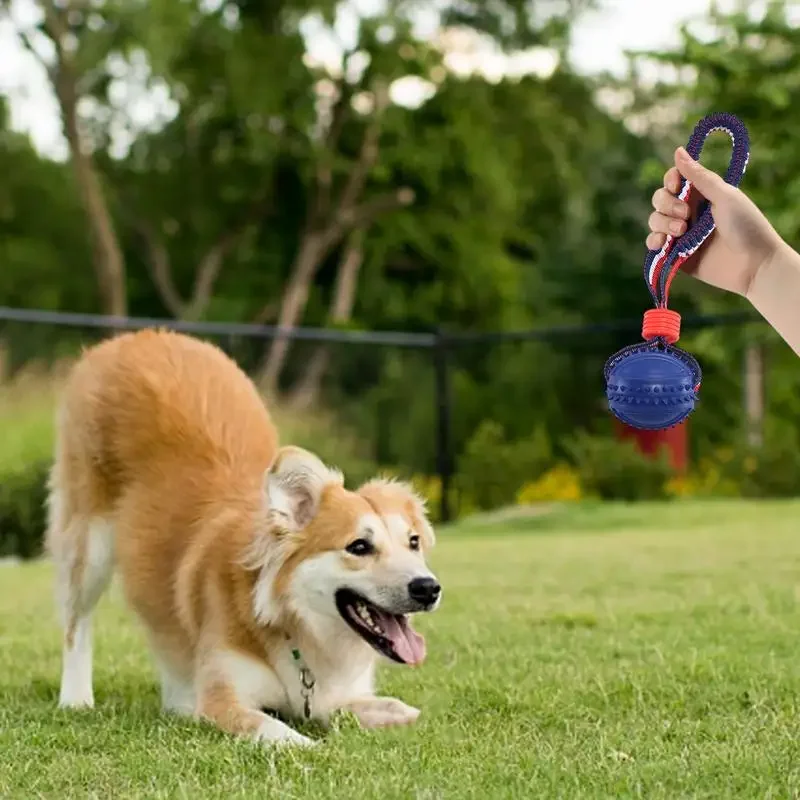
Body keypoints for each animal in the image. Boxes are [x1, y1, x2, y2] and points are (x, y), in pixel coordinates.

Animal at [46, 328, 440, 748]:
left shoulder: (334, 697)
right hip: (88, 543)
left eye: (413, 542)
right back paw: (76, 698)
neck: (293, 624)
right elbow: (278, 731)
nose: (428, 588)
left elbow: (378, 709)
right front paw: (311, 746)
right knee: (75, 623)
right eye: (359, 547)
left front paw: (398, 714)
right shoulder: (222, 701)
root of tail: (137, 336)